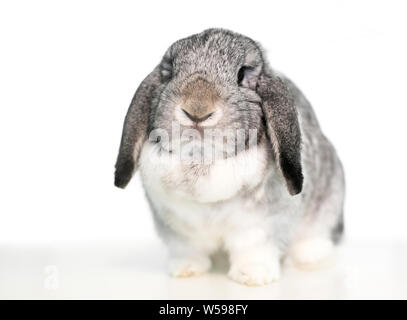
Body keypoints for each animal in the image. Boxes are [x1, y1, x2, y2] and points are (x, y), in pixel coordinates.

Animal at [114, 28, 344, 286]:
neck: (201, 160)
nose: (197, 110)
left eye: (242, 74)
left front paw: (253, 277)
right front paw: (186, 270)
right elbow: (188, 251)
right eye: (171, 72)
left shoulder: (260, 227)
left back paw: (310, 258)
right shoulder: (177, 230)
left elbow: (254, 251)